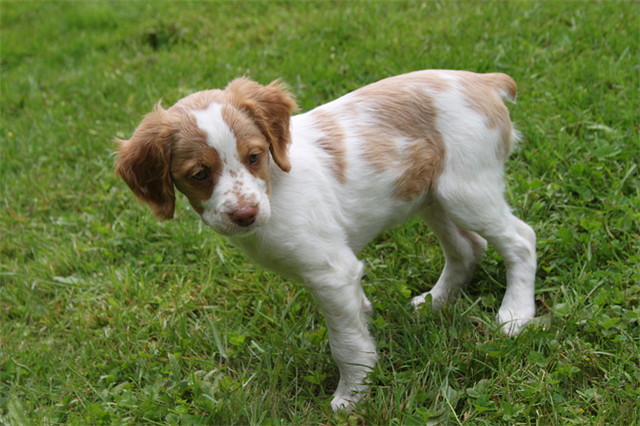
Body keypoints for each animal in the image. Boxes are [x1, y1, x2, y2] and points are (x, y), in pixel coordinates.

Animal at [115, 70, 537, 411]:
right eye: (199, 174)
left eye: (254, 156)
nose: (245, 215)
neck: (275, 188)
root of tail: (483, 80)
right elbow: (356, 321)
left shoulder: (331, 272)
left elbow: (345, 344)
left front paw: (350, 397)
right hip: (430, 194)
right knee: (468, 248)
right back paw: (435, 301)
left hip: (464, 191)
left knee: (522, 239)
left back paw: (515, 314)